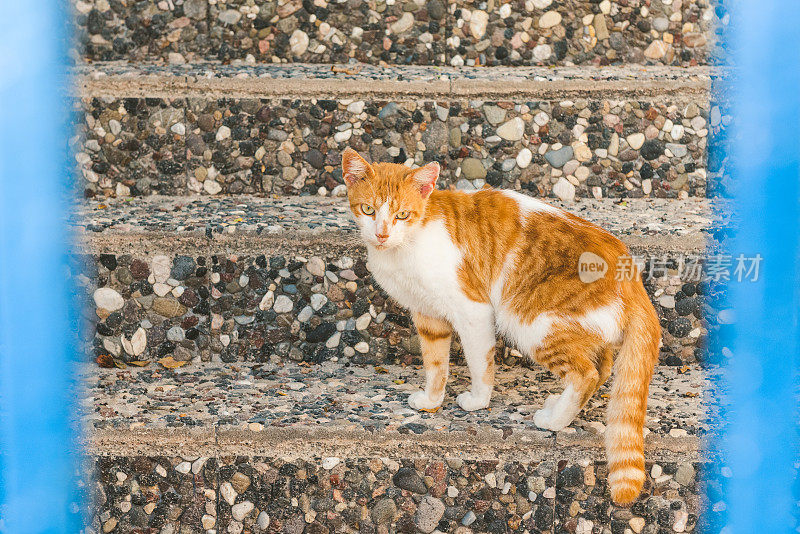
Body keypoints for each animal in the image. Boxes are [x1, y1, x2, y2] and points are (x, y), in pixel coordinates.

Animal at [344, 149, 664, 508]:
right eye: (368, 210)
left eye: (402, 214)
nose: (382, 233)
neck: (406, 247)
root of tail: (632, 274)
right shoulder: (428, 316)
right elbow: (435, 364)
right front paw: (431, 400)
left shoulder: (473, 309)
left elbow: (480, 364)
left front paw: (477, 401)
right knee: (602, 367)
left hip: (530, 322)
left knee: (586, 374)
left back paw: (553, 422)